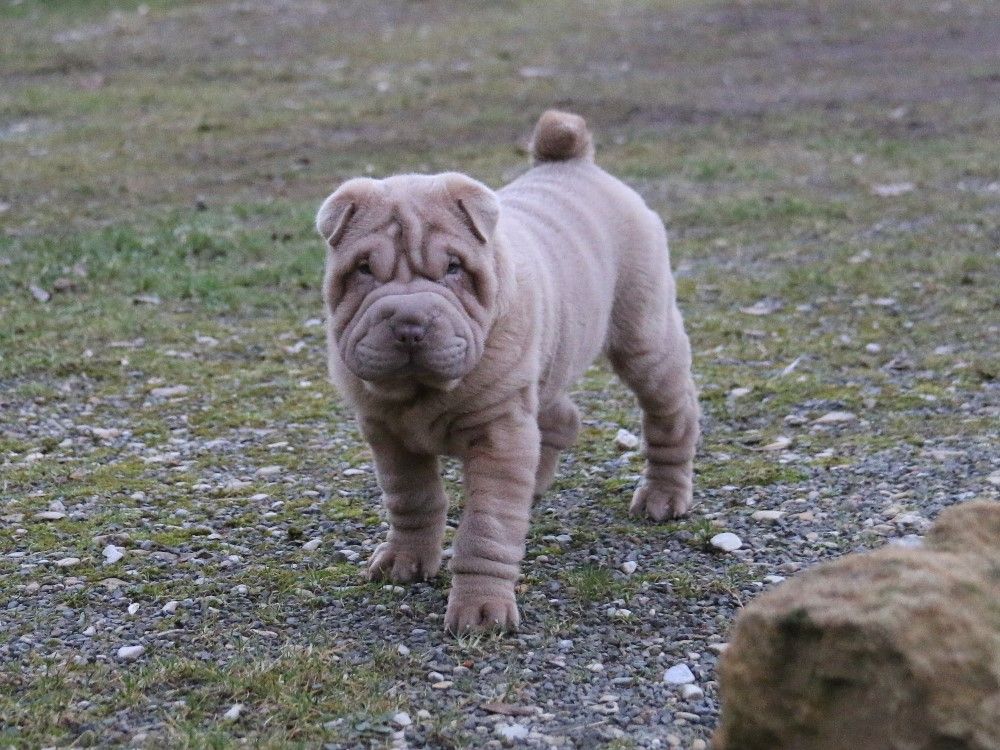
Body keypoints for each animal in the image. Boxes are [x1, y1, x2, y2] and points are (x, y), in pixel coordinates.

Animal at [316, 108, 700, 632]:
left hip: (644, 338)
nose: (410, 323)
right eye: (363, 270)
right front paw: (405, 561)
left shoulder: (499, 433)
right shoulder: (387, 433)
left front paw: (480, 612)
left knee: (670, 412)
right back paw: (537, 484)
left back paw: (662, 497)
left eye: (454, 268)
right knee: (560, 418)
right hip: (547, 361)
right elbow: (411, 498)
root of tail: (576, 162)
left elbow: (487, 526)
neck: (423, 392)